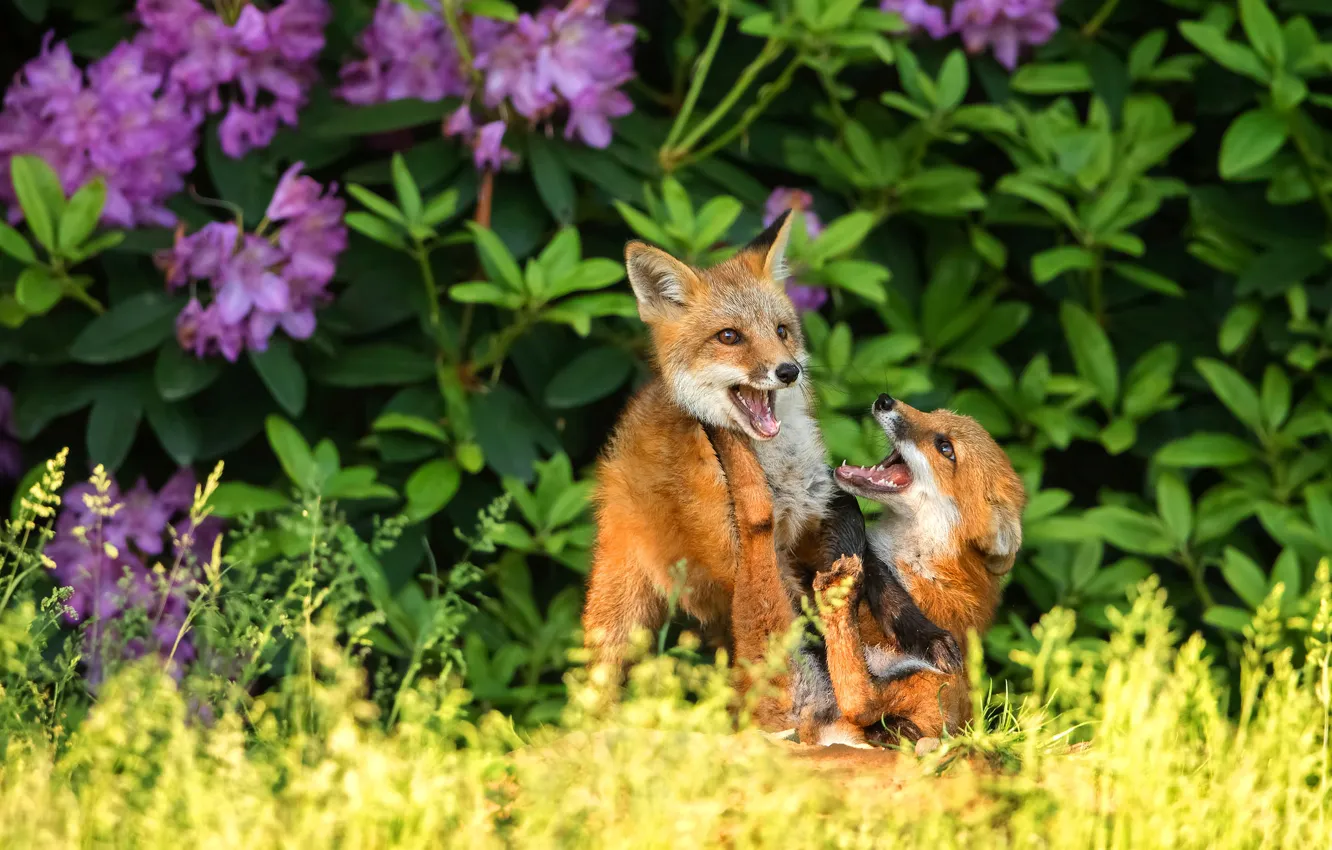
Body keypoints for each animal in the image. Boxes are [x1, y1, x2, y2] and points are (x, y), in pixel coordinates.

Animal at [581, 212, 959, 733]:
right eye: (729, 336)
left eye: (781, 330)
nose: (788, 371)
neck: (781, 474)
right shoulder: (750, 552)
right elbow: (797, 625)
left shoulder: (821, 515)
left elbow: (885, 587)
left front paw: (927, 639)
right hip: (621, 608)